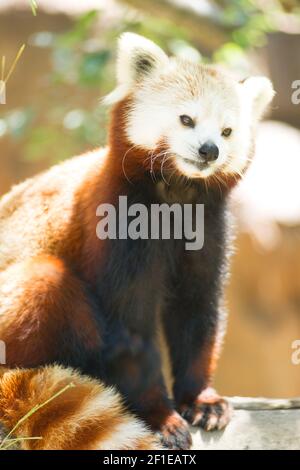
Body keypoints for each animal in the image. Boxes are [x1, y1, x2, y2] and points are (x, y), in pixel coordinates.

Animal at [0, 34, 274, 452]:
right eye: (186, 119)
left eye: (227, 131)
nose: (209, 150)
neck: (176, 197)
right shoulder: (118, 230)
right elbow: (131, 331)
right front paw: (160, 416)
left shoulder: (208, 229)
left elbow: (198, 312)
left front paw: (202, 399)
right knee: (46, 280)